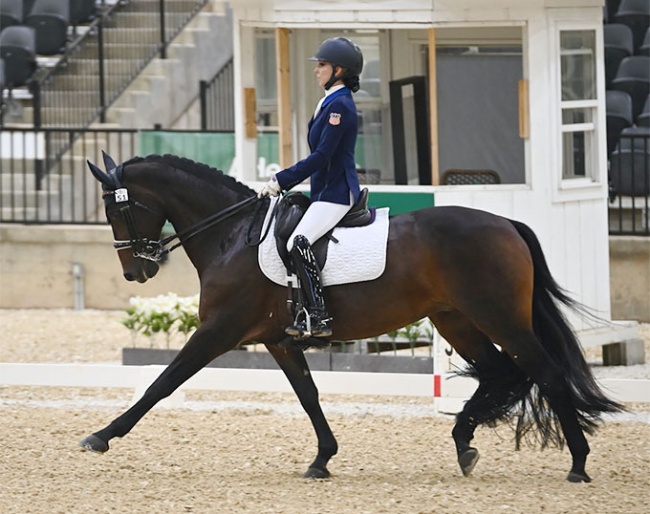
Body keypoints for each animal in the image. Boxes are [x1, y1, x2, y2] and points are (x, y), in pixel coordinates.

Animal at [83, 151, 620, 480]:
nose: (136, 271)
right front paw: (323, 458)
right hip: (456, 319)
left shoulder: (219, 330)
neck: (232, 234)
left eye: (114, 211)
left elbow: (162, 382)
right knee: (499, 372)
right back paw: (464, 441)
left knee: (544, 372)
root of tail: (506, 222)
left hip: (497, 316)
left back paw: (577, 464)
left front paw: (102, 436)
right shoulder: (277, 339)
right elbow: (308, 395)